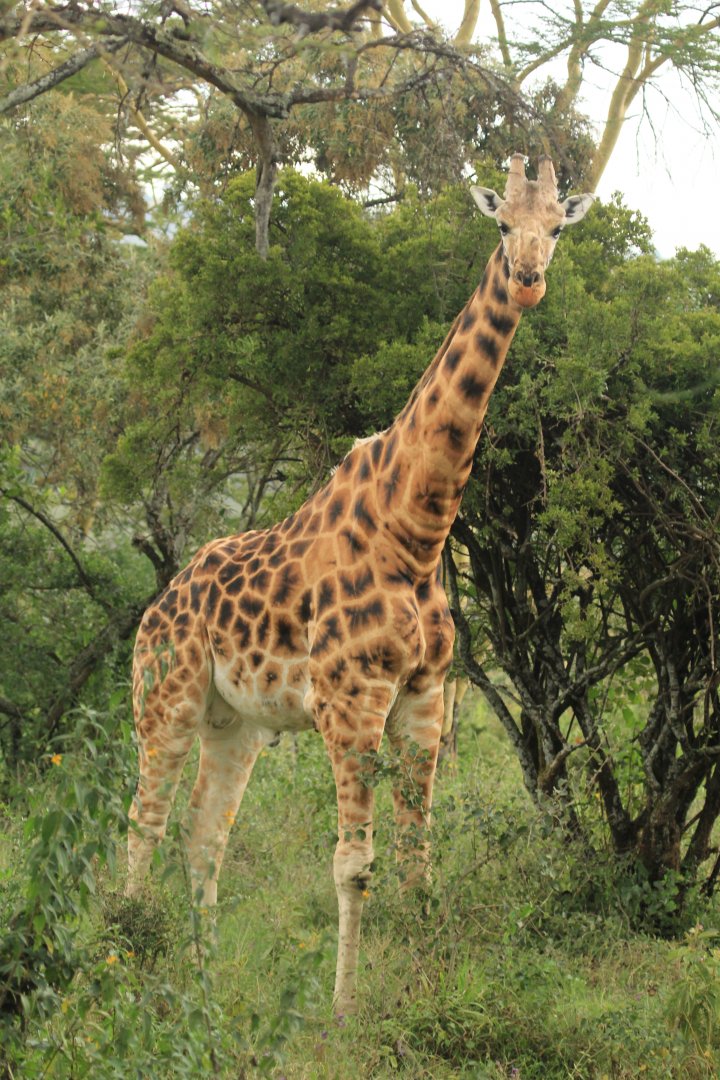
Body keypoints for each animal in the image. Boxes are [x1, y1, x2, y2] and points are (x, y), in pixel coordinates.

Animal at [126, 154, 593, 1015]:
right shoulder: (351, 703)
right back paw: (124, 954)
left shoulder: (424, 699)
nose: (528, 280)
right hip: (164, 699)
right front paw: (345, 1011)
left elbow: (418, 855)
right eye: (500, 223)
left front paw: (429, 986)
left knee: (204, 836)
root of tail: (156, 607)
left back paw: (206, 983)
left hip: (235, 722)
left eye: (556, 227)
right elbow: (354, 864)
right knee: (144, 821)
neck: (414, 531)